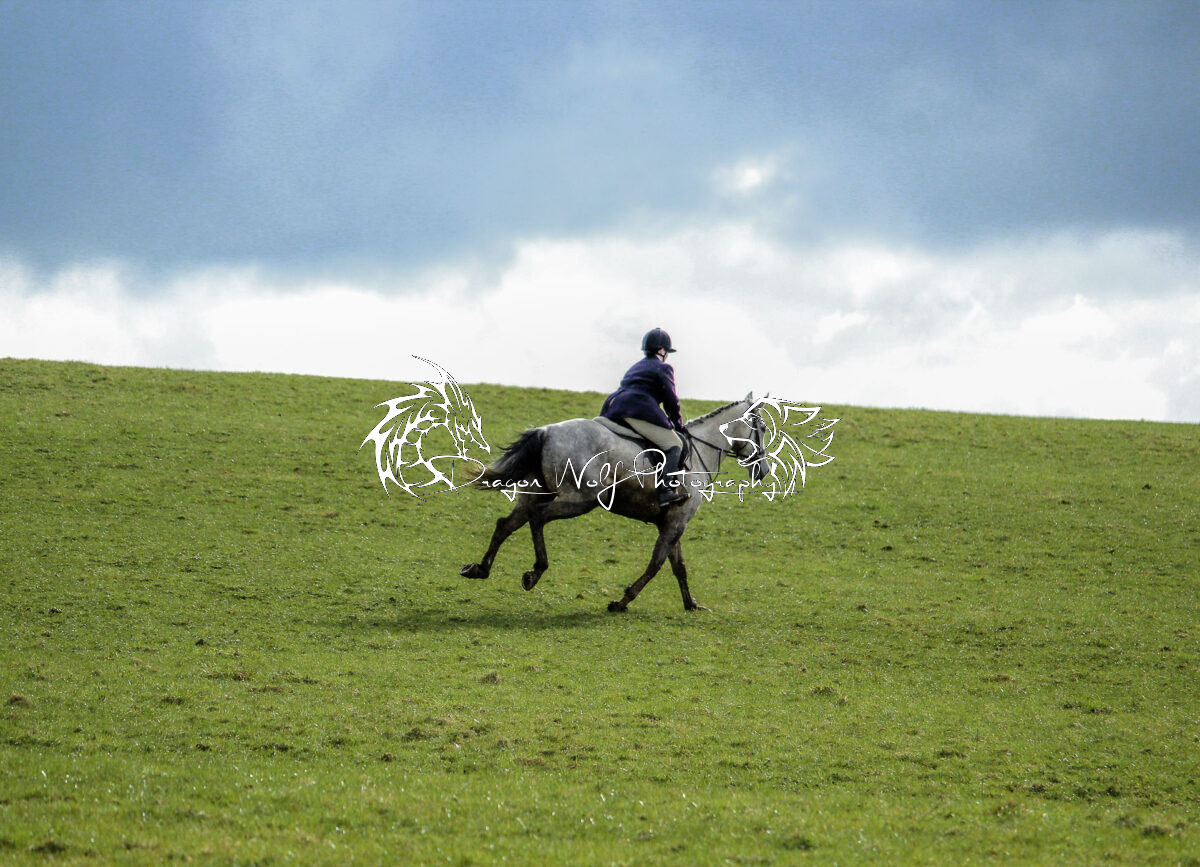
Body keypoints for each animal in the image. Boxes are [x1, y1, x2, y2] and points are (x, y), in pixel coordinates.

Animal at [459, 395, 769, 612]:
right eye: (763, 429)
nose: (763, 471)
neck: (700, 451)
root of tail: (546, 431)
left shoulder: (672, 522)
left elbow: (678, 566)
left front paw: (691, 604)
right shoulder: (675, 523)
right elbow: (656, 564)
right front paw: (622, 602)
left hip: (538, 492)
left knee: (506, 524)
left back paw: (479, 569)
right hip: (581, 500)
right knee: (537, 518)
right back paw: (535, 572)